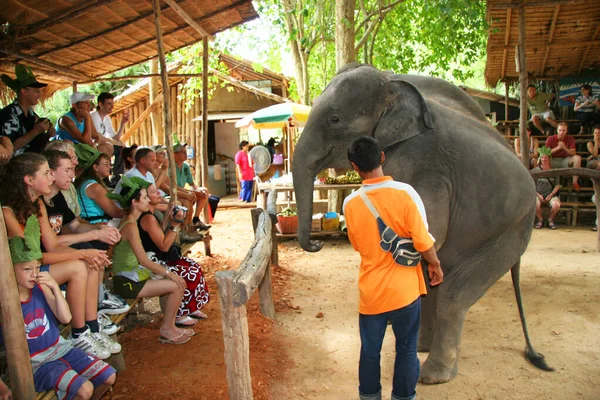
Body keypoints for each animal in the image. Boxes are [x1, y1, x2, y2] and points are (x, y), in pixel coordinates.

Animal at [292, 63, 552, 384]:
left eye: (335, 119)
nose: (316, 244)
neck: (390, 88)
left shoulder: (426, 163)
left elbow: (429, 231)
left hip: (510, 231)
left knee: (452, 295)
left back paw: (431, 375)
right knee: (433, 286)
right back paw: (419, 348)